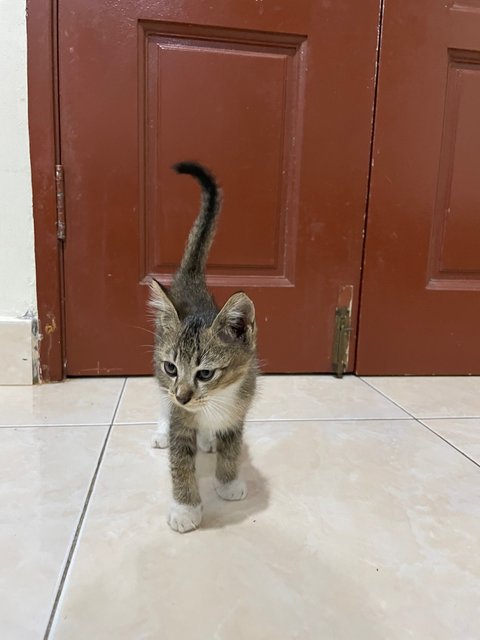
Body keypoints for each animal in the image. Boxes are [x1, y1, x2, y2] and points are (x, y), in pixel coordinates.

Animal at [148, 162, 256, 532]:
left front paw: (228, 481)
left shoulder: (239, 410)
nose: (182, 396)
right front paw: (186, 509)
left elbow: (231, 447)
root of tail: (192, 279)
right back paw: (161, 429)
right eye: (172, 367)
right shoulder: (179, 415)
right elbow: (180, 464)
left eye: (205, 373)